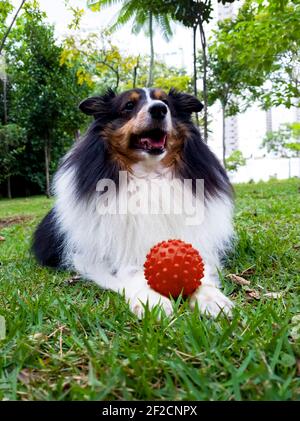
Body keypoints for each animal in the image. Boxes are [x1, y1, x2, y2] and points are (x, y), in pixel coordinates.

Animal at [32, 88, 234, 316]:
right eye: (128, 106)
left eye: (166, 102)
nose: (159, 109)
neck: (149, 175)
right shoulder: (97, 256)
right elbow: (129, 271)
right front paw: (151, 300)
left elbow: (200, 267)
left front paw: (210, 297)